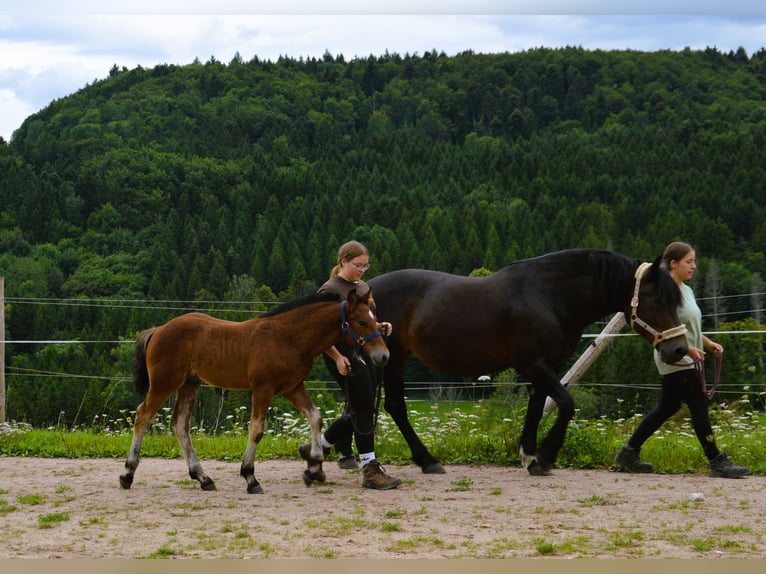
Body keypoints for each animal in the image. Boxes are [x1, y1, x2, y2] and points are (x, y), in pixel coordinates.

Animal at [119, 288, 389, 494]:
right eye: (362, 322)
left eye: (375, 320)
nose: (383, 356)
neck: (288, 337)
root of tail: (158, 330)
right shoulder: (263, 389)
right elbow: (257, 430)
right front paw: (250, 477)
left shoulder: (292, 387)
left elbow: (315, 417)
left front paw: (314, 467)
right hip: (164, 383)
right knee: (143, 415)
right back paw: (128, 474)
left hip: (189, 385)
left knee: (180, 424)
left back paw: (203, 478)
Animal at [367, 248, 688, 476]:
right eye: (657, 301)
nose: (679, 350)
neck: (549, 296)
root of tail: (366, 288)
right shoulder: (532, 364)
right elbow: (566, 403)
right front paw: (546, 455)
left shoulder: (548, 366)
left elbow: (536, 406)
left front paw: (530, 456)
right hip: (393, 358)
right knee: (395, 406)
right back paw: (428, 460)